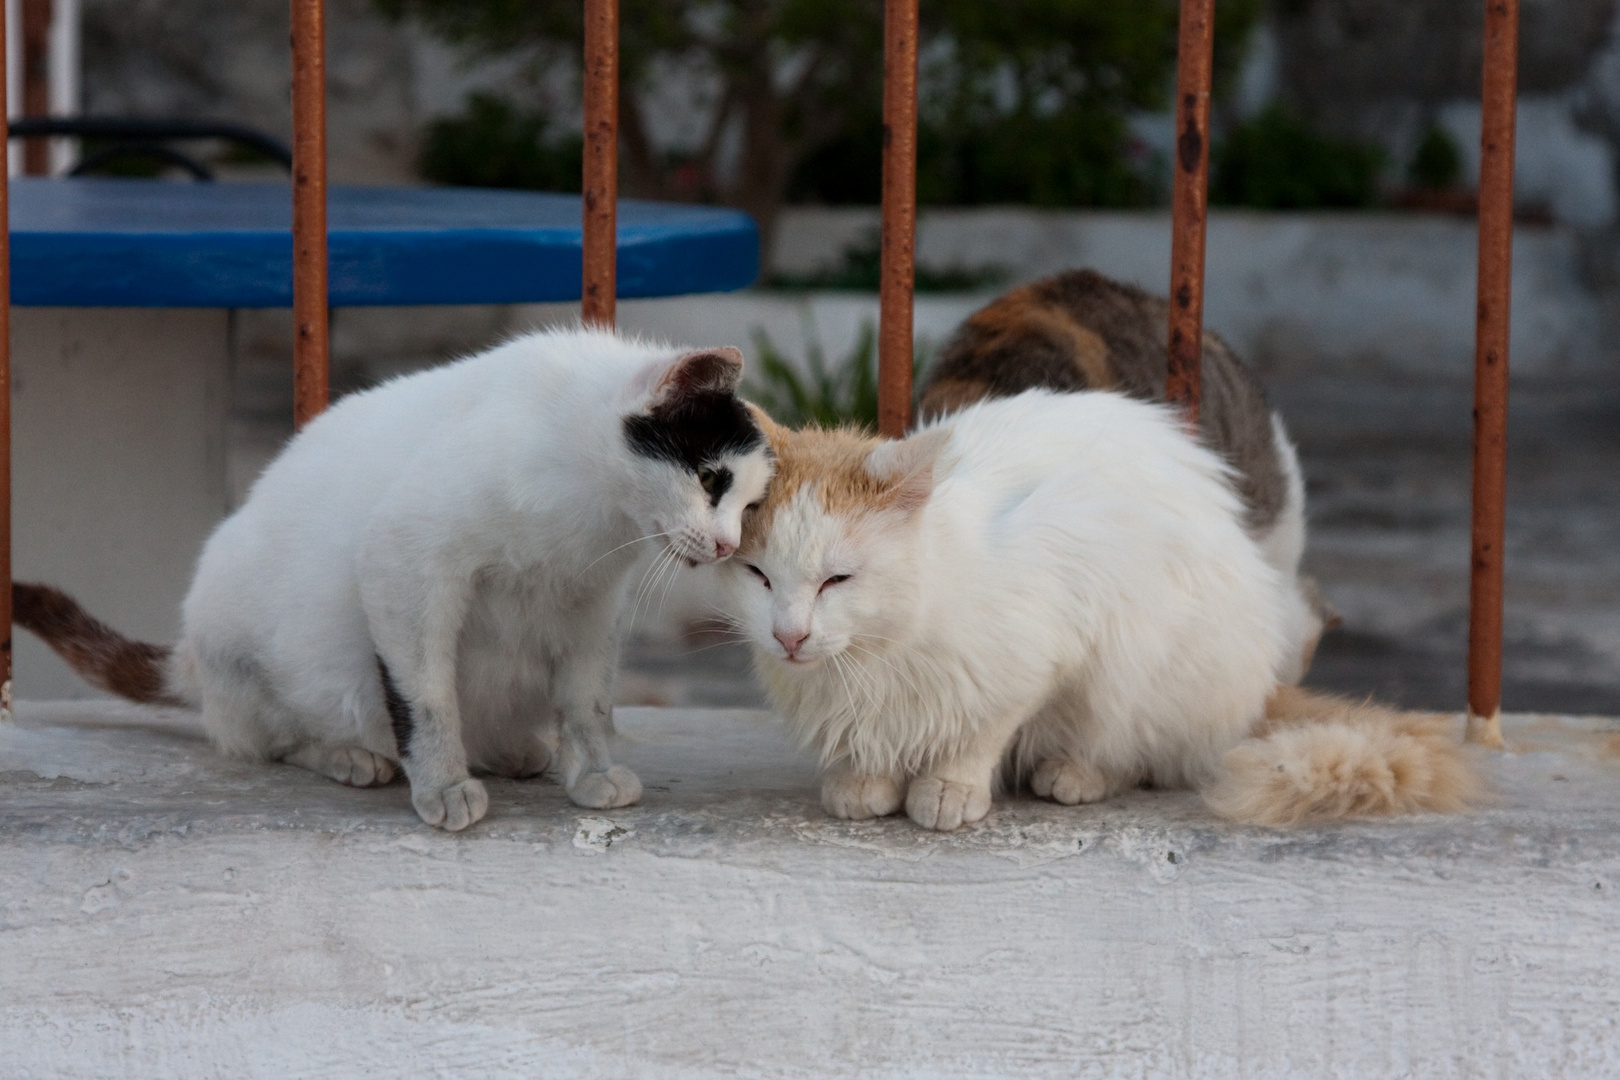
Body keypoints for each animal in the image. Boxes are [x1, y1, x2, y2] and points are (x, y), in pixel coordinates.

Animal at [12, 325, 771, 835]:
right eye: (710, 480)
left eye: (750, 506)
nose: (727, 543)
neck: (592, 514)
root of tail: (192, 660)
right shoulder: (405, 559)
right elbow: (426, 697)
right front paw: (441, 782)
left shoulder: (590, 609)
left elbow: (588, 704)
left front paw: (590, 771)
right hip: (243, 642)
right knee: (267, 739)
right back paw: (349, 755)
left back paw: (511, 749)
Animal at [725, 393, 1483, 835]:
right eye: (758, 576)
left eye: (838, 580)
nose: (788, 635)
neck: (876, 654)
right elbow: (868, 747)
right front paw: (863, 782)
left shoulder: (1049, 650)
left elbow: (980, 732)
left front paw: (949, 787)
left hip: (1146, 666)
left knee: (1140, 752)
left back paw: (1075, 775)